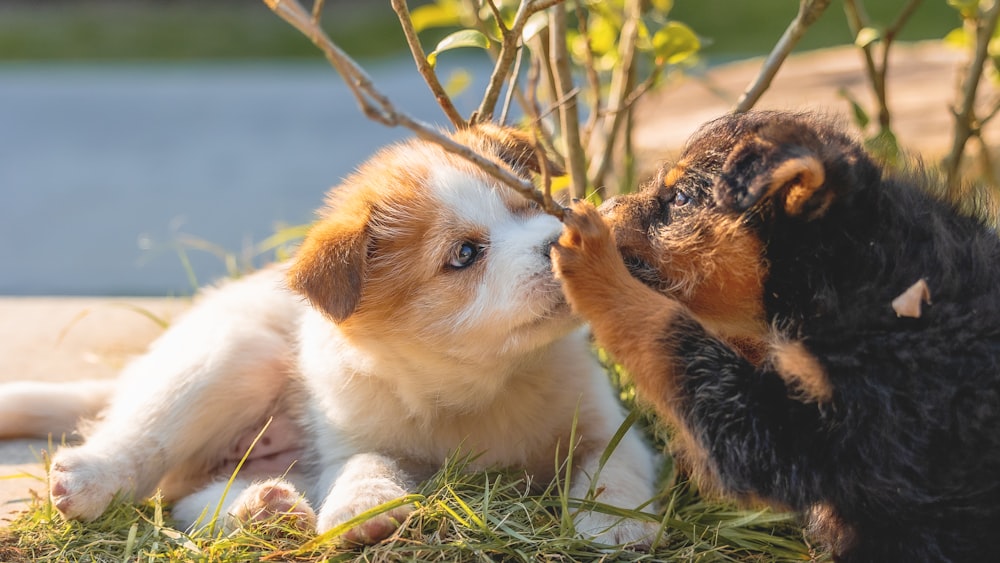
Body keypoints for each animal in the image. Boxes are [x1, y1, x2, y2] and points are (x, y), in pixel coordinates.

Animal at [0, 124, 660, 548]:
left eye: (531, 205)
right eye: (465, 254)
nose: (563, 242)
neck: (479, 386)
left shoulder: (605, 421)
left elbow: (615, 465)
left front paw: (617, 520)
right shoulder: (356, 436)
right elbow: (366, 464)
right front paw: (363, 509)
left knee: (191, 498)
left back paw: (266, 510)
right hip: (232, 356)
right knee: (148, 446)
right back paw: (98, 478)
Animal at [552, 111, 1000, 563]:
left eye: (679, 198)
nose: (600, 207)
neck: (837, 265)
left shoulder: (810, 430)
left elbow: (666, 326)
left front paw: (592, 255)